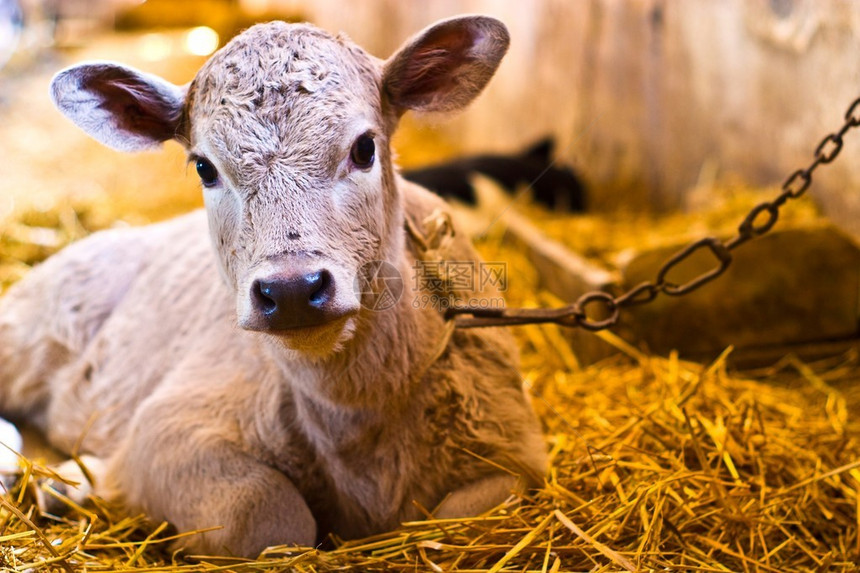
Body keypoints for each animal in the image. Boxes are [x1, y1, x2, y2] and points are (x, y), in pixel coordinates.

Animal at [0, 16, 544, 556]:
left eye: (365, 148)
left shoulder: (517, 453)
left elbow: (461, 522)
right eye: (204, 168)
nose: (291, 289)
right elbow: (268, 515)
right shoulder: (166, 429)